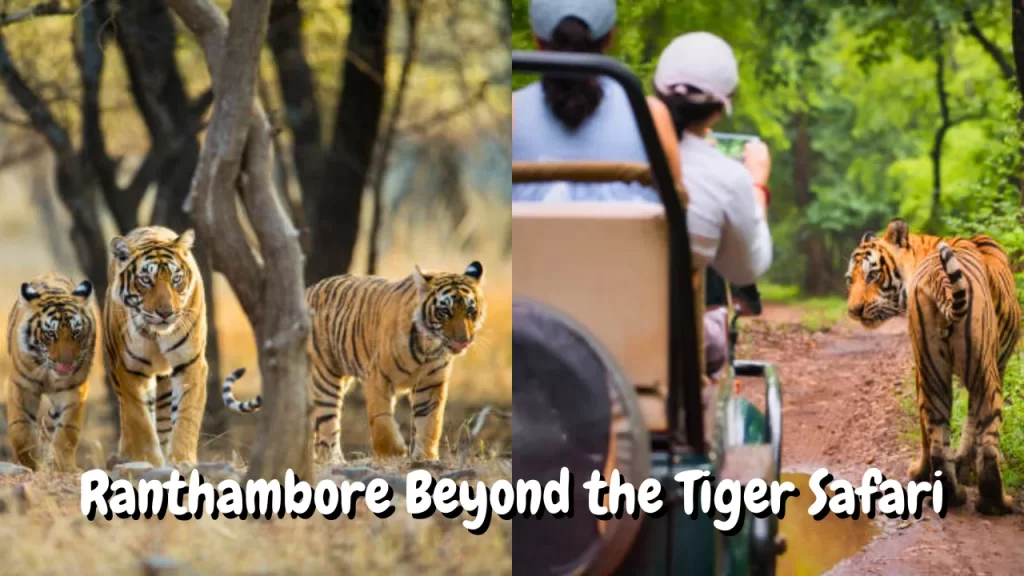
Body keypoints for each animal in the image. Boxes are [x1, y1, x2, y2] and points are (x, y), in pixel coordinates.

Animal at [5, 273, 96, 471]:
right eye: (51, 334)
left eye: (76, 333)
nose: (66, 363)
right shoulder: (22, 386)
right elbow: (21, 429)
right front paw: (32, 463)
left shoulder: (73, 389)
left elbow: (66, 431)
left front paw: (63, 467)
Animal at [103, 226, 220, 467]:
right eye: (146, 280)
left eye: (176, 279)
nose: (166, 313)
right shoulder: (130, 369)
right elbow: (140, 421)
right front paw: (146, 460)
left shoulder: (190, 364)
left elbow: (186, 417)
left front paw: (181, 461)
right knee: (127, 416)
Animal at [222, 261, 487, 463]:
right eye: (445, 311)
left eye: (470, 311)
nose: (463, 340)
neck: (428, 346)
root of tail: (306, 291)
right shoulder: (378, 377)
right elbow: (381, 420)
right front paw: (393, 453)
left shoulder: (431, 383)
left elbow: (430, 422)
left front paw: (425, 458)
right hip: (325, 378)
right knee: (327, 425)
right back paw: (333, 461)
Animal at [845, 218, 1021, 515]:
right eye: (850, 279)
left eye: (872, 275)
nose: (853, 311)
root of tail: (941, 277)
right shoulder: (998, 364)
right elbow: (972, 424)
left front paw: (945, 471)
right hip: (981, 374)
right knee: (986, 443)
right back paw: (994, 502)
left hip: (935, 370)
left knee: (937, 437)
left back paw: (951, 494)